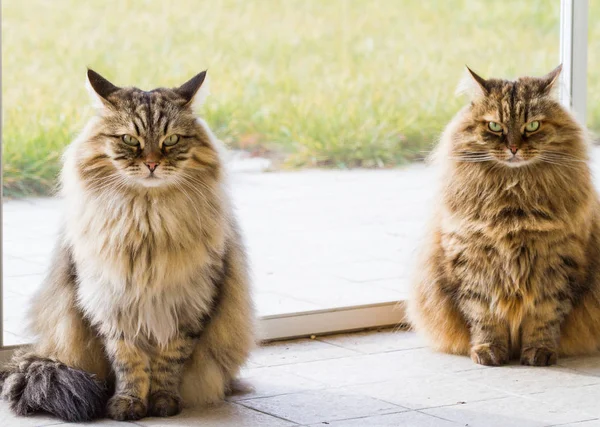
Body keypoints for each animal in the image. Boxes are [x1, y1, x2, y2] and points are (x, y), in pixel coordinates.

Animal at [0, 69, 254, 422]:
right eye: (130, 140)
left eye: (171, 140)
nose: (151, 163)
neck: (146, 220)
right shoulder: (113, 305)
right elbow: (129, 363)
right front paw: (128, 404)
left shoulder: (187, 307)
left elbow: (168, 363)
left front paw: (163, 403)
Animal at [410, 66, 600, 368]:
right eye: (495, 127)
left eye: (532, 126)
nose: (513, 148)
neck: (513, 201)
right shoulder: (472, 262)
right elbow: (483, 315)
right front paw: (488, 351)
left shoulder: (557, 262)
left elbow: (545, 316)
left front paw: (539, 352)